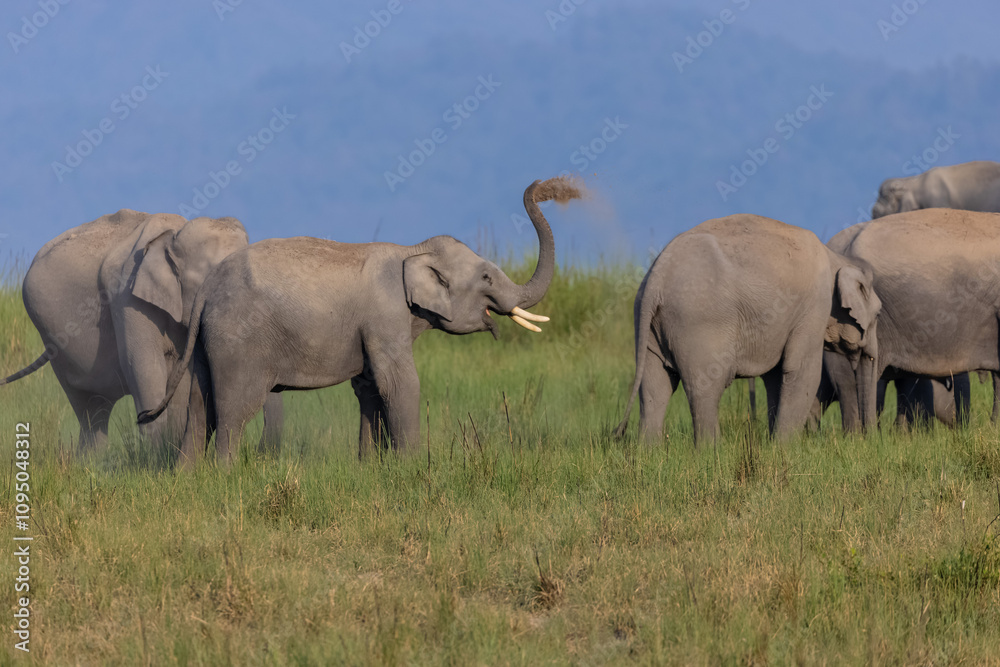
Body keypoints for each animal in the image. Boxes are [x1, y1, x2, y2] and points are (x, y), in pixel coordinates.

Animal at [1, 210, 283, 451]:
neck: (173, 236)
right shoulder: (126, 296)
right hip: (52, 338)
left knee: (97, 406)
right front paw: (157, 457)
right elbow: (144, 365)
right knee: (88, 404)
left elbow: (183, 373)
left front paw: (170, 448)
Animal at [137, 177, 581, 467]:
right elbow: (400, 382)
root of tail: (206, 290)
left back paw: (187, 478)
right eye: (487, 277)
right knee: (234, 409)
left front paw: (370, 468)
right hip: (237, 344)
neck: (412, 248)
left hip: (203, 345)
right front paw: (413, 469)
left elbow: (369, 386)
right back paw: (225, 476)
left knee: (200, 408)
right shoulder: (385, 315)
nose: (548, 187)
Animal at [613, 214, 881, 445]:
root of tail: (656, 280)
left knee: (655, 387)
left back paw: (648, 452)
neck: (837, 258)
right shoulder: (814, 307)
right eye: (878, 314)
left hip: (650, 326)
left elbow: (775, 376)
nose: (868, 439)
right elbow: (802, 371)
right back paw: (711, 452)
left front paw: (773, 444)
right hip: (697, 324)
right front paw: (784, 448)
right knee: (706, 387)